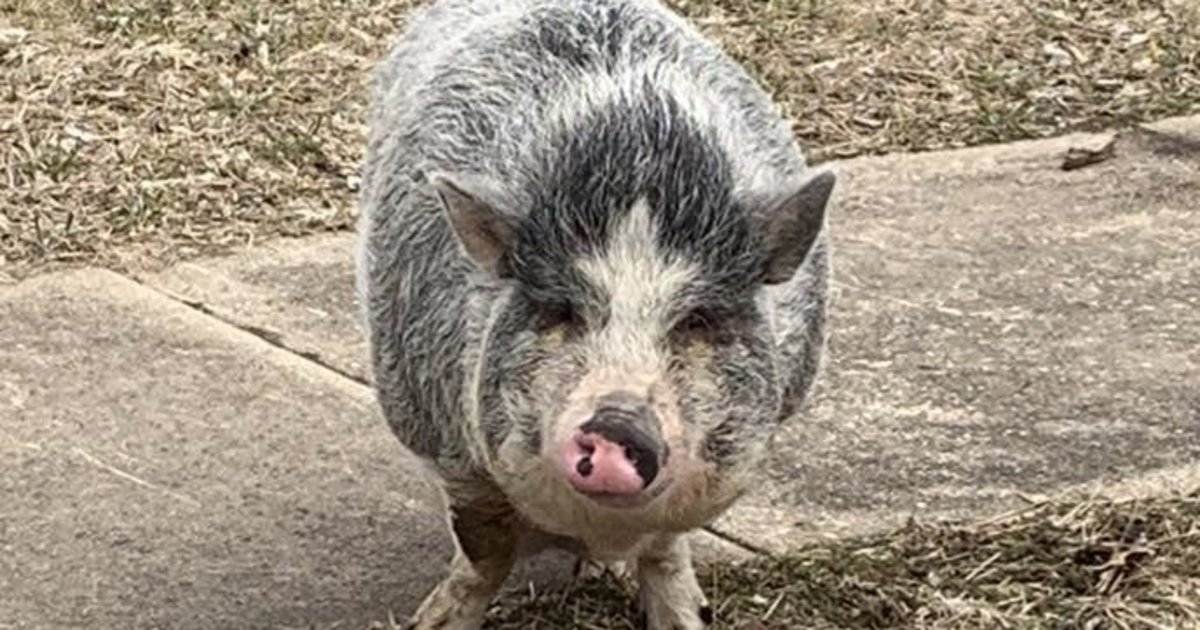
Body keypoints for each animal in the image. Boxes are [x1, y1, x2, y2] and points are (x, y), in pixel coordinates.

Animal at [355, 1, 835, 628]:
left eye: (699, 319)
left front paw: (685, 616)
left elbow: (663, 547)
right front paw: (432, 620)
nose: (616, 424)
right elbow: (485, 550)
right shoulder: (443, 444)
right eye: (561, 309)